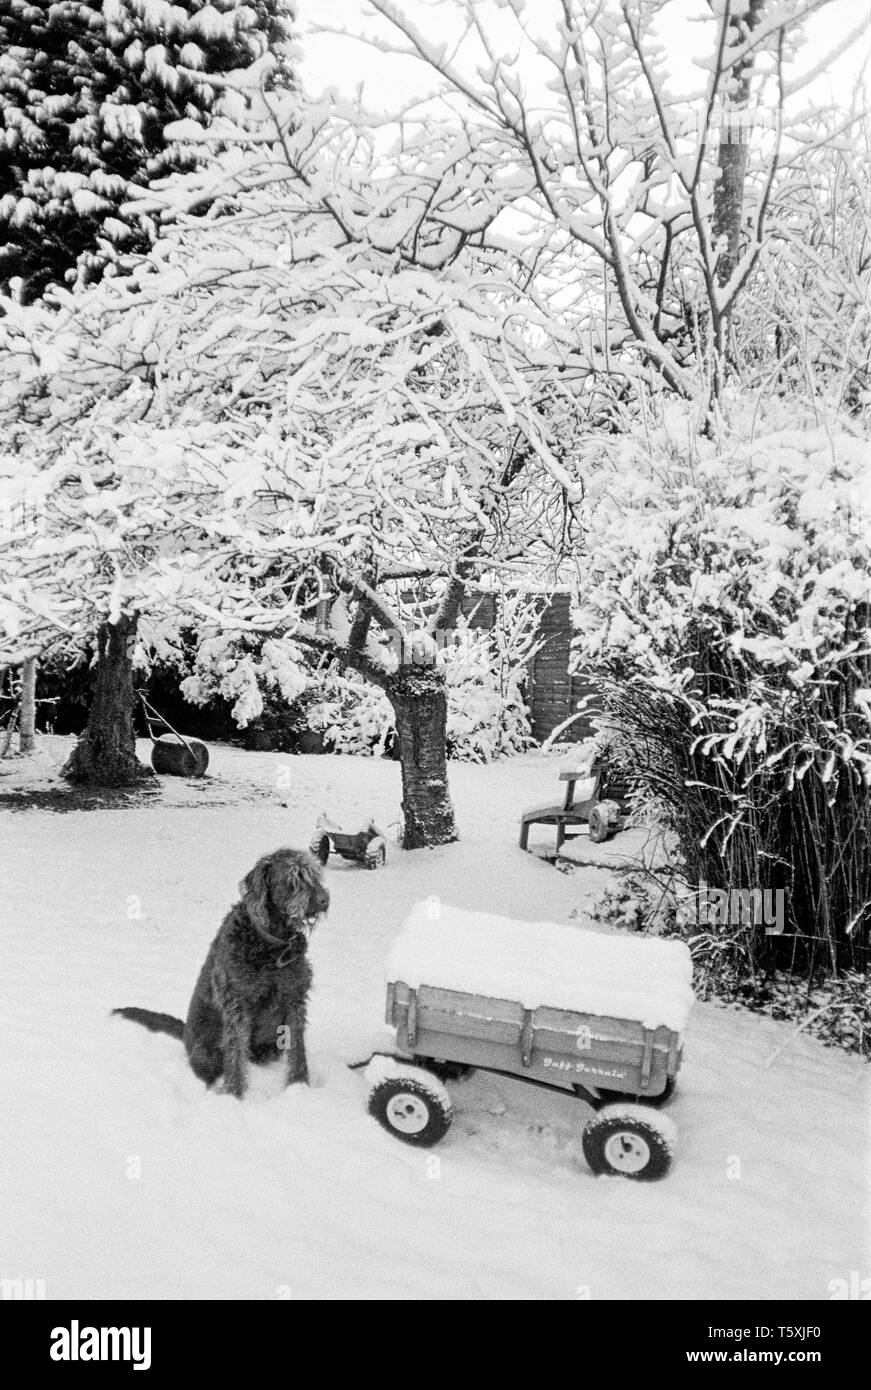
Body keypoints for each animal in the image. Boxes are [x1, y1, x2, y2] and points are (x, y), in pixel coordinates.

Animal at [115, 845, 330, 1095]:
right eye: (293, 878)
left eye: (314, 875)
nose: (325, 900)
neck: (272, 945)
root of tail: (185, 1033)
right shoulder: (236, 1005)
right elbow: (235, 1056)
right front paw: (234, 1095)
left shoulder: (294, 998)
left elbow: (297, 1052)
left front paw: (299, 1086)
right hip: (205, 1051)